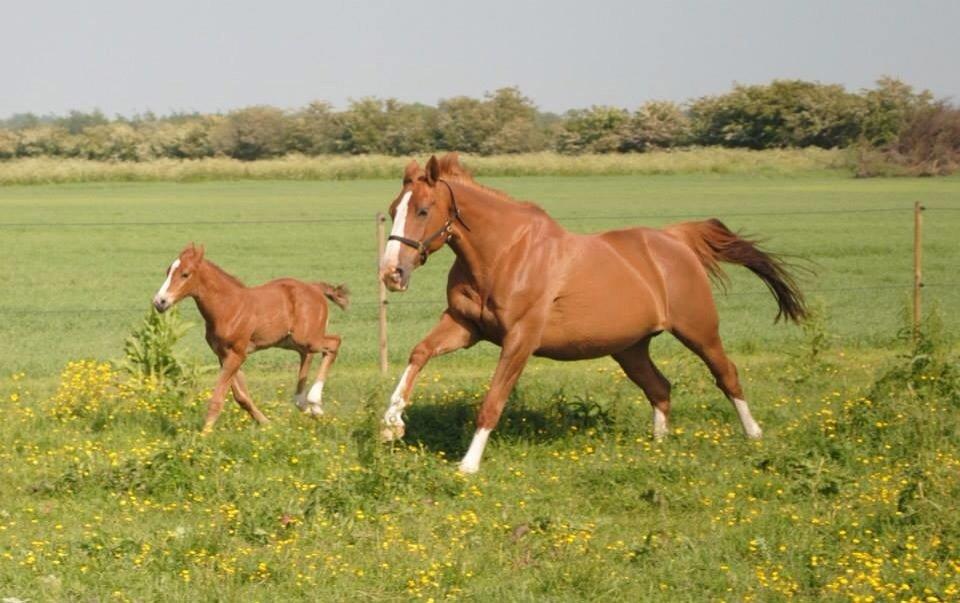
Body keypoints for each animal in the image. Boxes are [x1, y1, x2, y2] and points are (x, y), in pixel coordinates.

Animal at [156, 243, 350, 432]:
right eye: (167, 272)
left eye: (185, 274)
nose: (159, 302)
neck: (228, 307)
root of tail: (315, 288)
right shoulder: (224, 355)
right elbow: (241, 396)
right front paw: (267, 423)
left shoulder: (237, 354)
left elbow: (218, 398)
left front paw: (203, 435)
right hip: (291, 341)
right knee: (307, 355)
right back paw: (304, 404)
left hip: (307, 338)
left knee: (334, 342)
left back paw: (314, 402)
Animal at [378, 153, 808, 474]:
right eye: (393, 209)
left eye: (423, 210)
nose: (391, 273)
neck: (504, 253)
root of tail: (675, 239)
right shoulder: (465, 325)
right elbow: (419, 353)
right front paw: (391, 423)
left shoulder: (520, 339)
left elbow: (493, 400)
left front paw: (468, 465)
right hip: (630, 348)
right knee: (660, 388)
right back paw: (658, 445)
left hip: (699, 331)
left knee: (727, 375)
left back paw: (754, 435)